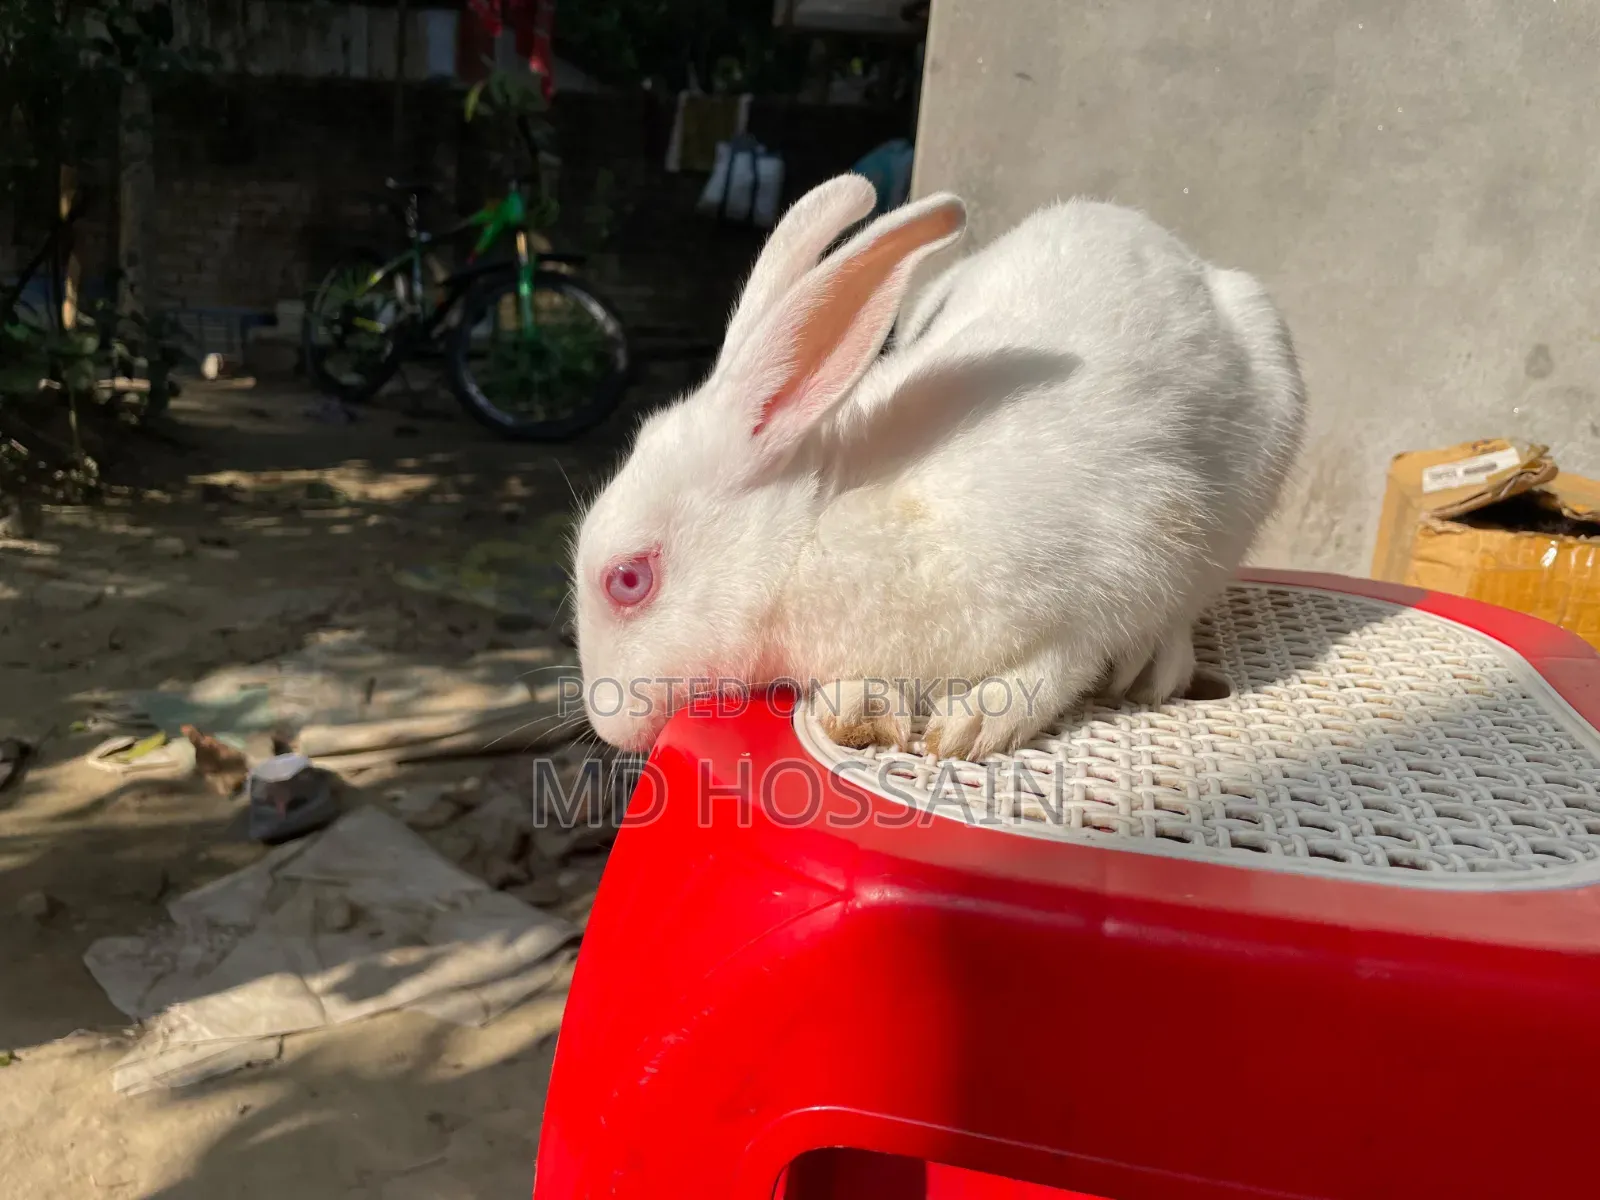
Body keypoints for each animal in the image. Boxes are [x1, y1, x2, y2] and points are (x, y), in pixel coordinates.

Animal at [572, 173, 1305, 759]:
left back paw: (1156, 667)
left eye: (628, 580)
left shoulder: (1121, 560)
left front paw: (975, 723)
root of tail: (1182, 254)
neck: (809, 539)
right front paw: (857, 709)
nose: (608, 725)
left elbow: (1065, 661)